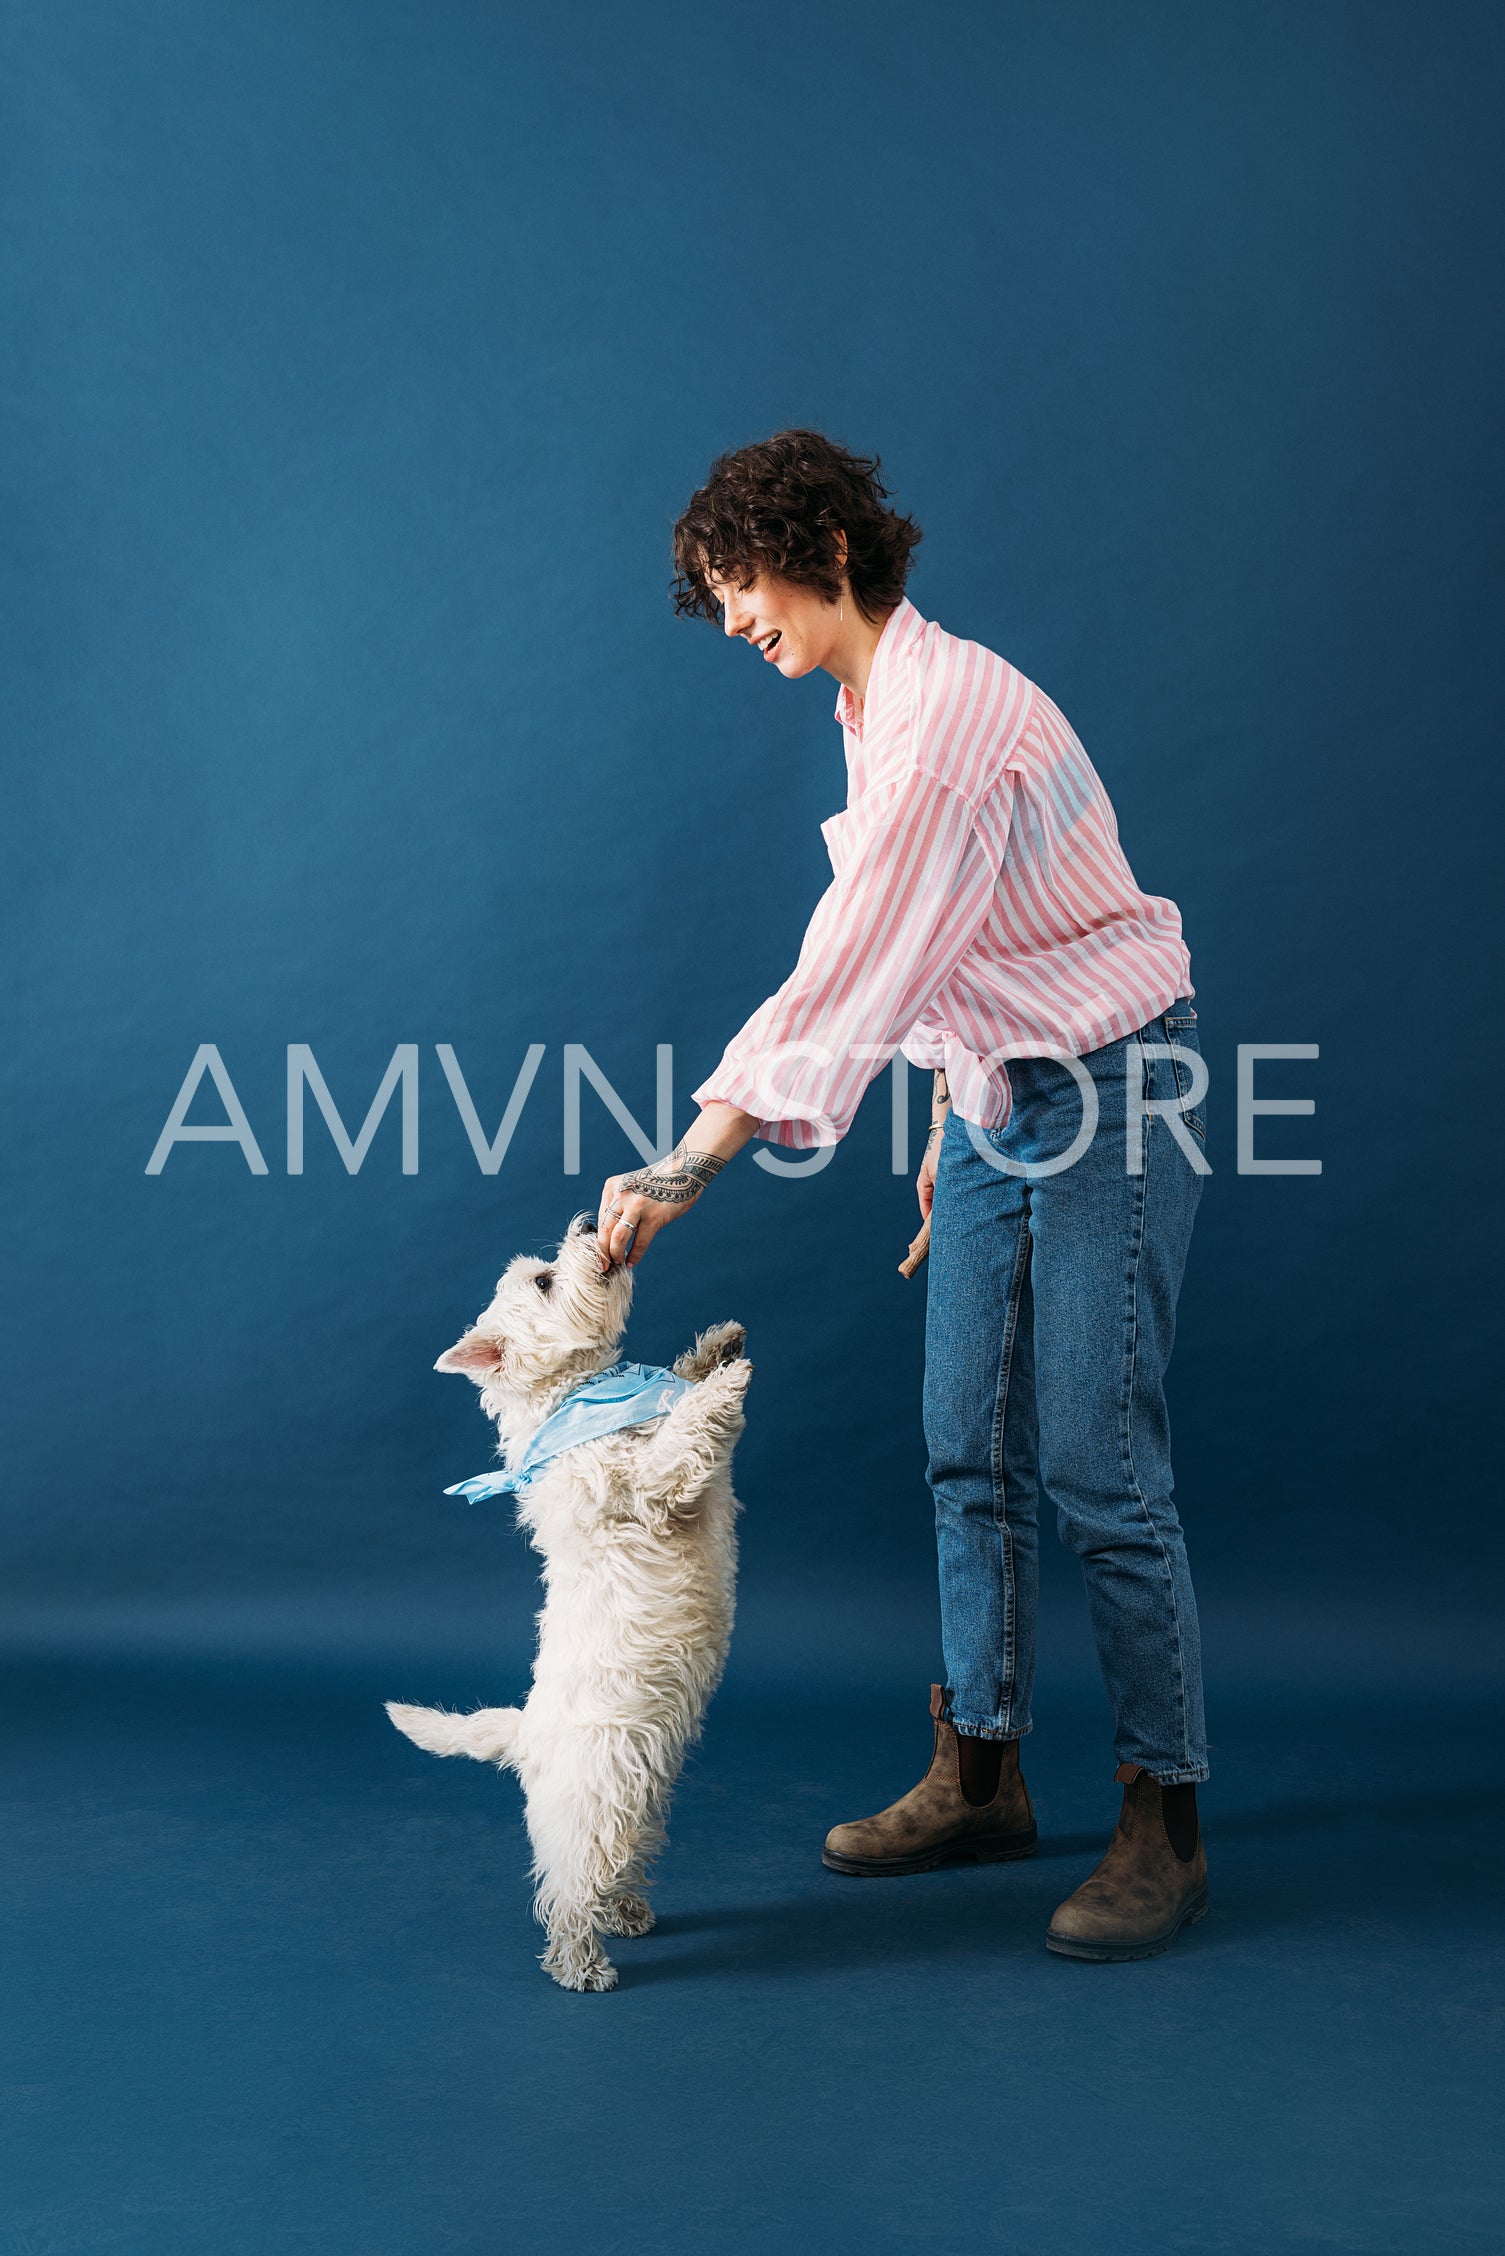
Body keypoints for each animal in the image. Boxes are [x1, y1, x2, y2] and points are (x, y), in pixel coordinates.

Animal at [383, 1218, 749, 1994]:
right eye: (546, 1281)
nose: (588, 1223)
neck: (579, 1396)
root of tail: (523, 1735)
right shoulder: (646, 1487)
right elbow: (683, 1437)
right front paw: (723, 1380)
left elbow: (690, 1405)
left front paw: (717, 1348)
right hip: (592, 1801)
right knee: (569, 1889)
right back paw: (581, 1964)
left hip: (641, 1797)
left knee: (618, 1867)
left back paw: (630, 1912)